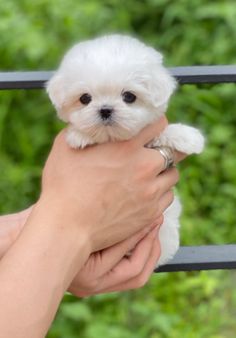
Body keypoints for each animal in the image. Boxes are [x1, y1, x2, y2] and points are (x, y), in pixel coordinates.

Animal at [46, 34, 205, 266]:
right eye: (85, 98)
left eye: (129, 96)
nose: (105, 110)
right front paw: (79, 136)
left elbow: (162, 132)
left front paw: (188, 136)